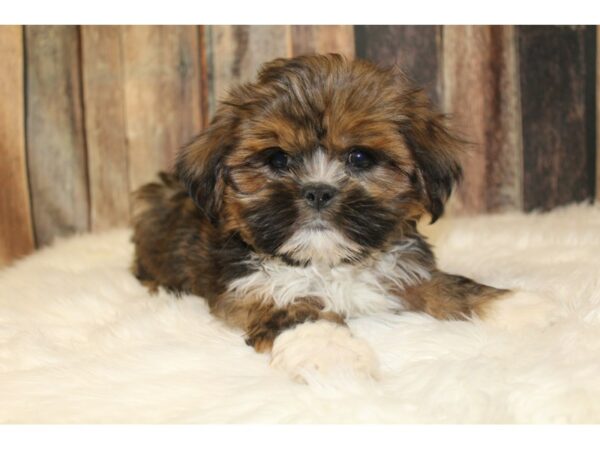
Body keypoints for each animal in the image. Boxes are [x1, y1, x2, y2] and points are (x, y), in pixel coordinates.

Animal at [132, 54, 552, 382]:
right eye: (277, 159)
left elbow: (443, 284)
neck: (327, 262)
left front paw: (512, 305)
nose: (318, 190)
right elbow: (294, 310)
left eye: (360, 157)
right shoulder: (250, 288)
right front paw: (329, 352)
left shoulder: (400, 265)